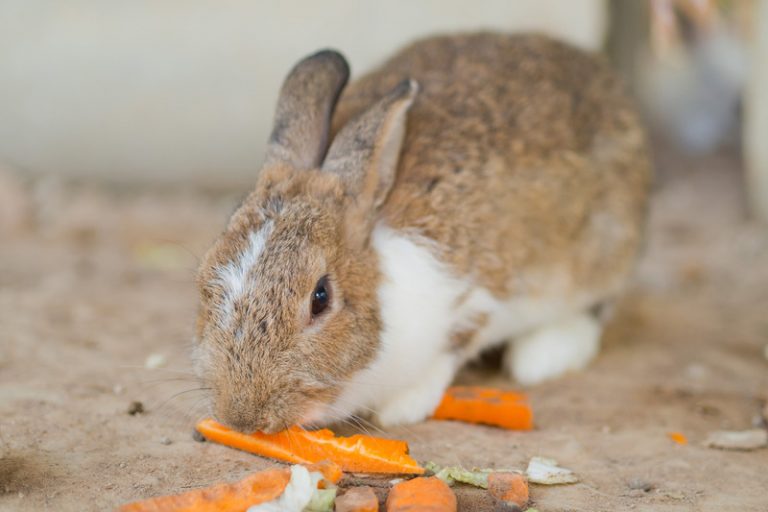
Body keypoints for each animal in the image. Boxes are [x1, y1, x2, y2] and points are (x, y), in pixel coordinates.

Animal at [193, 33, 651, 432]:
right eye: (205, 276)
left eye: (320, 298)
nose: (242, 418)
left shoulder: (478, 296)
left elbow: (451, 349)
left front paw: (402, 408)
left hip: (601, 252)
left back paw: (543, 358)